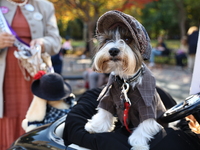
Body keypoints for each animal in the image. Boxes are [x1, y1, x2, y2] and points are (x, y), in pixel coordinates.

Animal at [83, 9, 166, 149]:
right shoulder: (108, 97)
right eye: (107, 39)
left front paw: (138, 144)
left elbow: (145, 125)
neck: (125, 81)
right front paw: (95, 126)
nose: (113, 50)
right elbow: (104, 112)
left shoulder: (147, 106)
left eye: (127, 39)